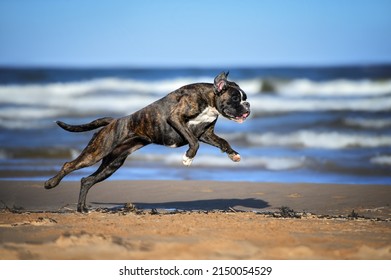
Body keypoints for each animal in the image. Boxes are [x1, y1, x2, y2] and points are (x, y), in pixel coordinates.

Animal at [43, 72, 251, 212]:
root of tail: (114, 121)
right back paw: (50, 184)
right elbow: (194, 143)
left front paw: (234, 155)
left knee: (86, 180)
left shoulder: (206, 133)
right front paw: (187, 158)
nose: (248, 105)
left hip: (112, 164)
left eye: (244, 98)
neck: (209, 99)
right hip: (96, 153)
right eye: (235, 98)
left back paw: (82, 209)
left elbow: (223, 142)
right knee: (69, 165)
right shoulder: (176, 119)